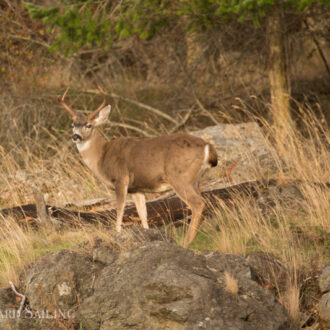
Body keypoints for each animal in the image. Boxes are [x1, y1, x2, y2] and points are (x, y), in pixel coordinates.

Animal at [58, 86, 219, 246]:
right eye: (73, 125)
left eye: (88, 125)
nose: (75, 136)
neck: (102, 156)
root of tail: (207, 146)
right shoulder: (137, 189)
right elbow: (143, 214)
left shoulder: (121, 180)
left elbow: (119, 211)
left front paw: (118, 235)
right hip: (196, 180)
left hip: (179, 177)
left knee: (198, 204)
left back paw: (186, 242)